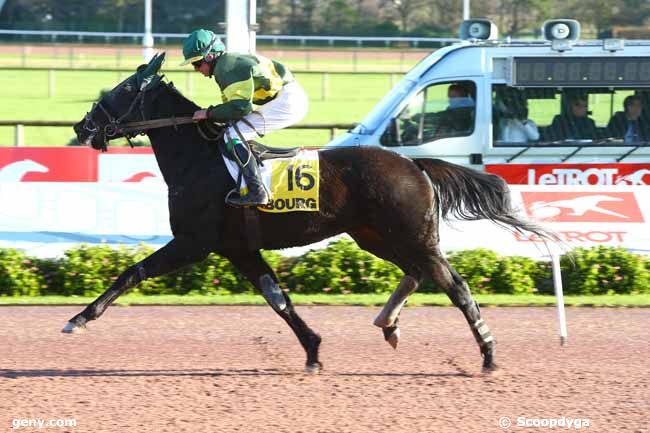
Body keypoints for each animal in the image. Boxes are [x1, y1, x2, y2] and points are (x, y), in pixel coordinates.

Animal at [69, 53, 548, 372]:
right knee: (417, 273)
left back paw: (488, 353)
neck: (199, 160)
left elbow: (131, 273)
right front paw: (314, 350)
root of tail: (414, 164)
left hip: (410, 235)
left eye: (123, 90)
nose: (82, 127)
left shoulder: (193, 243)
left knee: (454, 284)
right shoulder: (238, 249)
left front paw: (79, 319)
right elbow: (277, 298)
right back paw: (389, 324)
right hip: (374, 236)